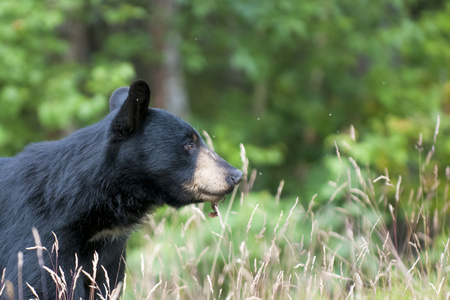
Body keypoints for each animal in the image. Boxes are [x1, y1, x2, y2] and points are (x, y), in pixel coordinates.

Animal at [0, 80, 243, 300]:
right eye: (189, 144)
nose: (235, 175)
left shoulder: (109, 253)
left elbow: (107, 286)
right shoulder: (42, 238)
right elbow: (38, 285)